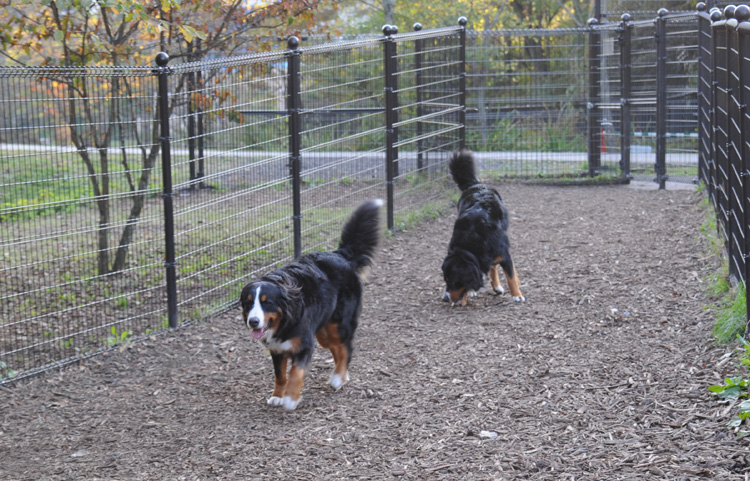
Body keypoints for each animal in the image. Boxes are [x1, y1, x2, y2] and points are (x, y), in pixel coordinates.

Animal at [239, 199, 384, 408]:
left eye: (267, 302)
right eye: (248, 303)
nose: (253, 322)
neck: (286, 319)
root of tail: (340, 255)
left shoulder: (304, 345)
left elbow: (295, 373)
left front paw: (290, 399)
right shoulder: (277, 349)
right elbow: (280, 375)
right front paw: (277, 395)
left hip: (340, 324)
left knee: (346, 349)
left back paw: (338, 378)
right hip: (324, 332)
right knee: (337, 348)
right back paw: (341, 376)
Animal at [444, 150, 524, 308]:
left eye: (454, 281)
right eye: (446, 279)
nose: (445, 298)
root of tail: (475, 185)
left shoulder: (504, 253)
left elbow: (510, 276)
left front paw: (517, 295)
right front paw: (468, 294)